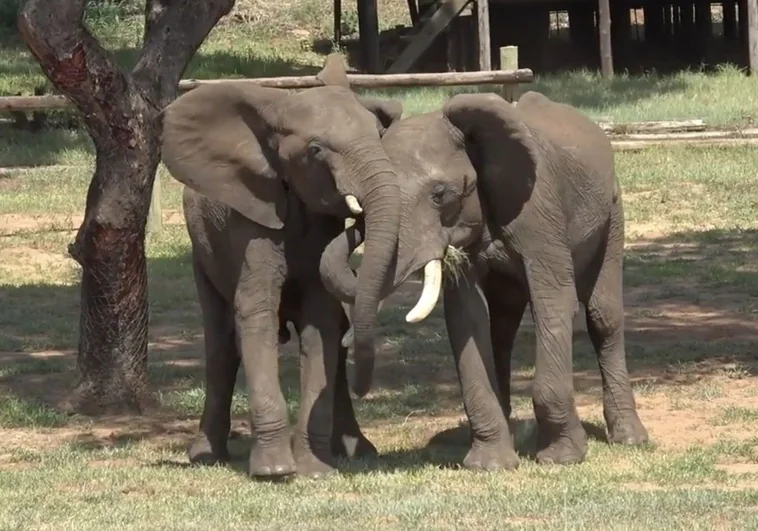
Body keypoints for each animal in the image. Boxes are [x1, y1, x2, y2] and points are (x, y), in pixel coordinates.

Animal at [161, 56, 406, 480]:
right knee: (221, 342)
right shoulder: (250, 218)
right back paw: (206, 456)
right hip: (202, 253)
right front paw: (274, 472)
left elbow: (321, 323)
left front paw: (314, 471)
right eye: (316, 150)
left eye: (379, 134)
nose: (359, 214)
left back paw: (359, 451)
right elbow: (255, 311)